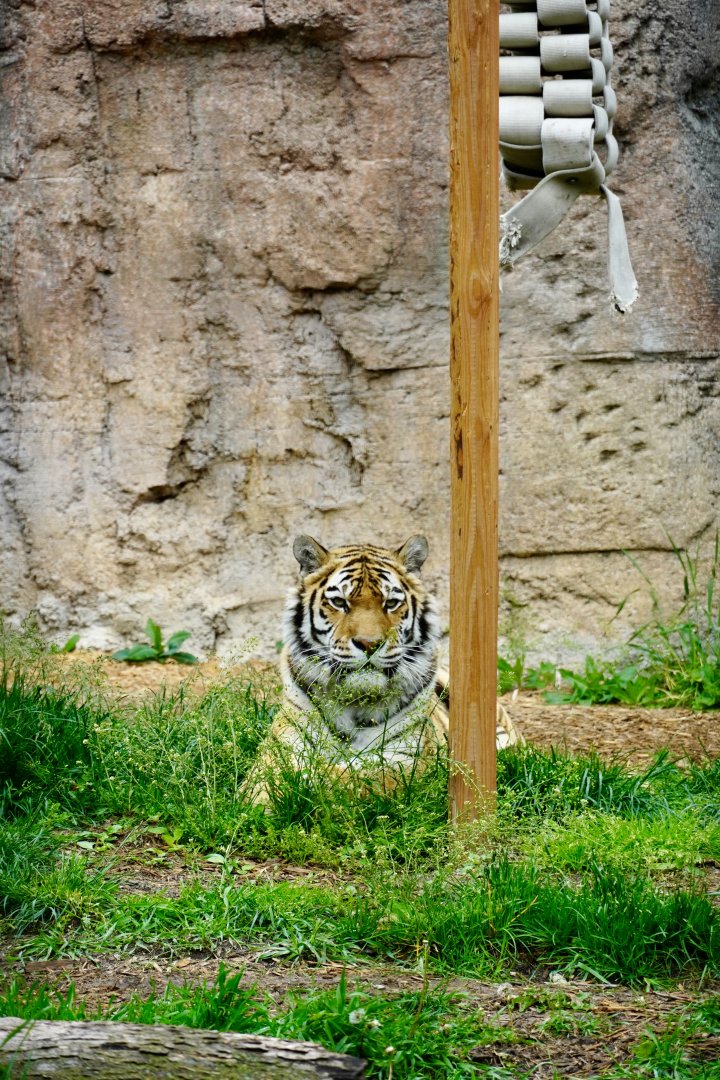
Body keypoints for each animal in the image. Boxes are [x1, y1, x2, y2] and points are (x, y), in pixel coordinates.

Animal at [246, 534, 521, 804]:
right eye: (339, 602)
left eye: (391, 603)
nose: (370, 644)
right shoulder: (281, 745)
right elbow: (270, 776)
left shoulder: (408, 759)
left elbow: (353, 778)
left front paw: (305, 783)